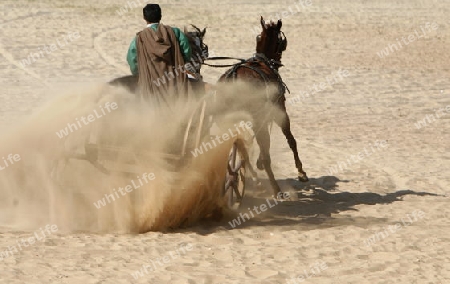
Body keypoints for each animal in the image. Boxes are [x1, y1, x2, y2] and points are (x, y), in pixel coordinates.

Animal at [218, 16, 310, 196]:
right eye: (281, 41)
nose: (278, 61)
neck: (262, 62)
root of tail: (233, 78)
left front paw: (258, 163)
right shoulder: (280, 111)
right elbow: (291, 140)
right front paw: (301, 172)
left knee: (242, 149)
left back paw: (253, 179)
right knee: (263, 153)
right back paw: (275, 188)